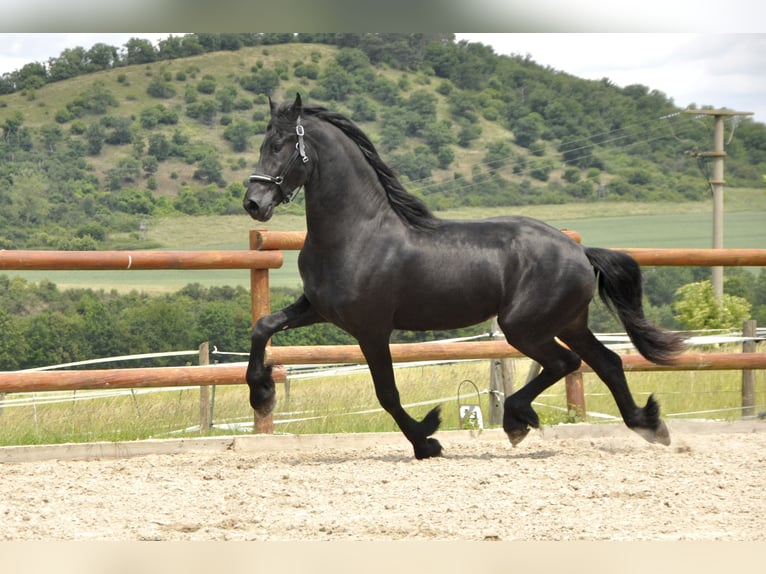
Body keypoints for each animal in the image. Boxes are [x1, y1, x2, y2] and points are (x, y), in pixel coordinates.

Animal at [242, 93, 685, 459]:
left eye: (281, 146)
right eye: (263, 144)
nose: (253, 203)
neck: (357, 233)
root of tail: (578, 250)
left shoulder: (371, 329)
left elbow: (387, 393)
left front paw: (427, 440)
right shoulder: (318, 308)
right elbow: (263, 327)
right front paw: (262, 395)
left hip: (524, 327)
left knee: (566, 362)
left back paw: (517, 421)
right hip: (567, 322)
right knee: (606, 362)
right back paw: (649, 425)